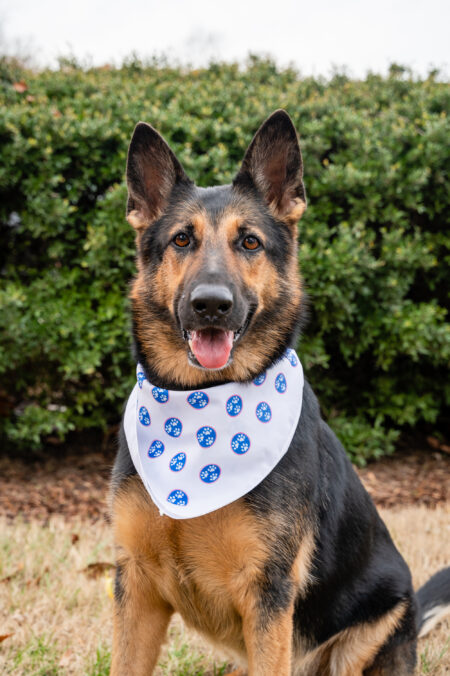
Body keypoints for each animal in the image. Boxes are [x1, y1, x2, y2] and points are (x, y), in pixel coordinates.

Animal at [110, 108, 450, 672]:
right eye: (181, 240)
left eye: (250, 242)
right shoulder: (135, 587)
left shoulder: (268, 593)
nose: (211, 304)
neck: (201, 410)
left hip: (372, 628)